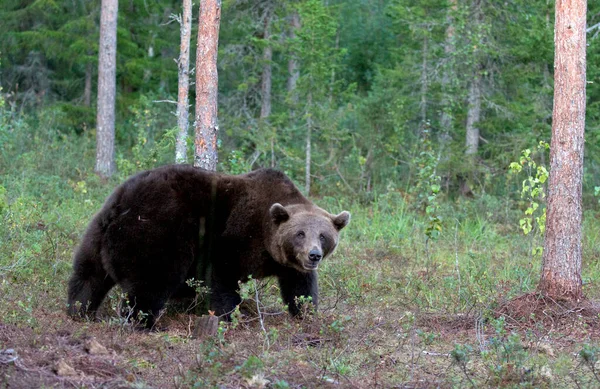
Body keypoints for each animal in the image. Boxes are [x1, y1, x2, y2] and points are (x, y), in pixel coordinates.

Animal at [66, 164, 350, 328]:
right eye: (300, 233)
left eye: (323, 236)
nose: (313, 255)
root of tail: (121, 205)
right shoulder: (234, 236)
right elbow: (223, 276)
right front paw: (232, 315)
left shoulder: (290, 264)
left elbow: (300, 288)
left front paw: (307, 313)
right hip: (157, 231)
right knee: (152, 280)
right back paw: (142, 322)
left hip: (96, 232)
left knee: (87, 276)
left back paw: (80, 311)